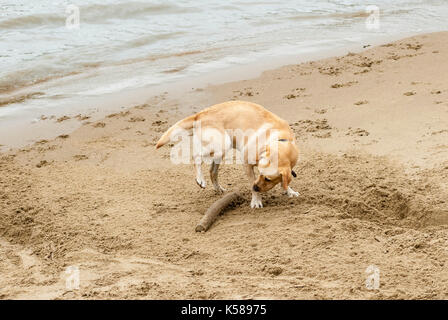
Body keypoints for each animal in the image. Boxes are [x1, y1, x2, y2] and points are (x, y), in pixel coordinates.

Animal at [156, 101, 300, 209]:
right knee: (196, 157)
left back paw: (218, 188)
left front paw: (289, 191)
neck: (280, 139)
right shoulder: (246, 163)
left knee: (212, 171)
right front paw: (256, 201)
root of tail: (199, 114)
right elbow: (252, 183)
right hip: (222, 143)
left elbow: (284, 181)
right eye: (260, 173)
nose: (255, 186)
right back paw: (200, 179)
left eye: (268, 179)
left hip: (220, 151)